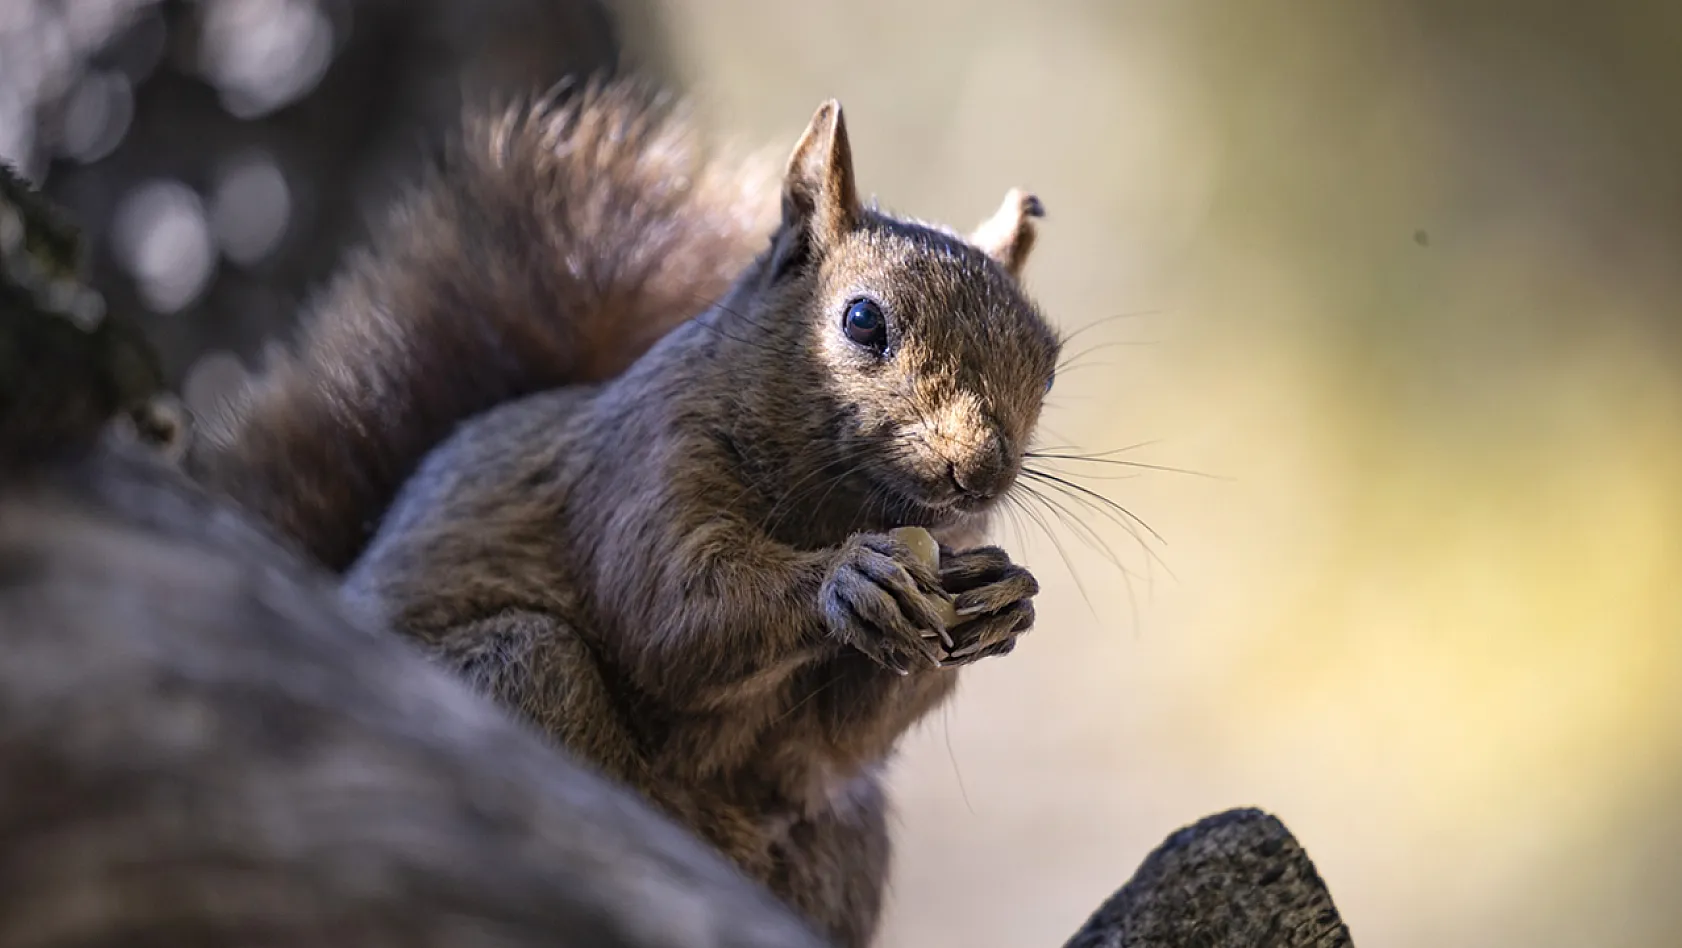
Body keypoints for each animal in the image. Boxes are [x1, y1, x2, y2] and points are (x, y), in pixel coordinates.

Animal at [326, 89, 1056, 948]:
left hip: (846, 836)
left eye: (1047, 367)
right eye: (862, 321)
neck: (839, 505)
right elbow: (672, 614)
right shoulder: (645, 464)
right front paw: (848, 578)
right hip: (515, 676)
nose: (979, 472)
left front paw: (1004, 599)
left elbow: (835, 738)